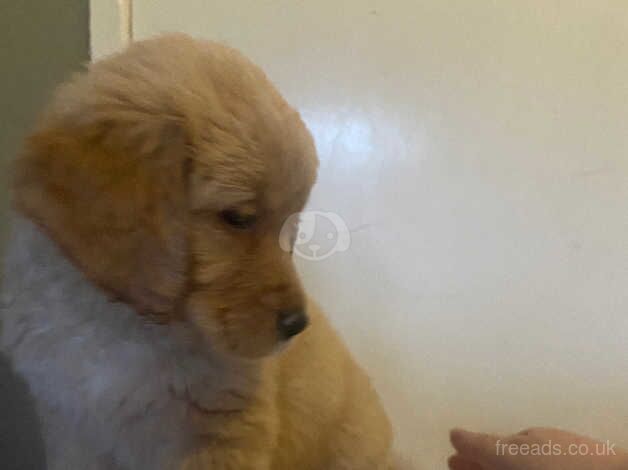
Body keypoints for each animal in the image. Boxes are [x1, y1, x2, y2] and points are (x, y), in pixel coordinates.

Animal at [1, 34, 392, 470]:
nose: (296, 325)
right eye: (238, 218)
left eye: (291, 226)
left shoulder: (221, 432)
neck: (122, 322)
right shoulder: (71, 426)